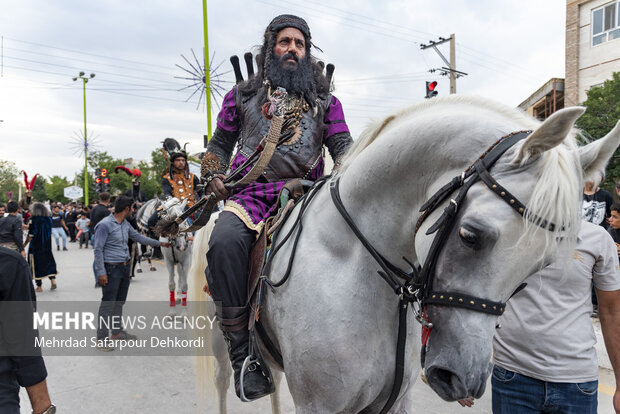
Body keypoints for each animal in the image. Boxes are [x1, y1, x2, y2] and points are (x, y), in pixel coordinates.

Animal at [188, 95, 620, 412]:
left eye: (542, 264)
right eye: (471, 235)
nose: (459, 377)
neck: (353, 265)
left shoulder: (394, 401)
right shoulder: (320, 404)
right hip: (220, 347)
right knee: (225, 381)